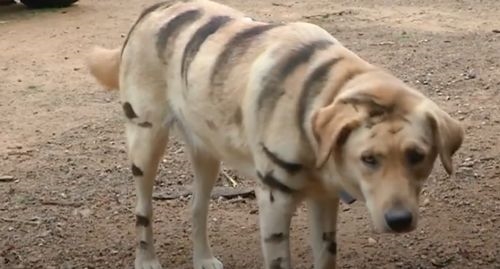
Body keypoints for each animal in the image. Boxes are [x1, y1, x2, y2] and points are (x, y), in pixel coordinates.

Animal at [86, 1, 464, 266]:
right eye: (368, 159)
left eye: (418, 156)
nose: (400, 221)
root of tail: (150, 10)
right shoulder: (274, 204)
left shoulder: (324, 201)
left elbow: (326, 259)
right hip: (145, 145)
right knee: (143, 211)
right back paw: (147, 260)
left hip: (208, 154)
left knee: (196, 209)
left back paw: (203, 258)